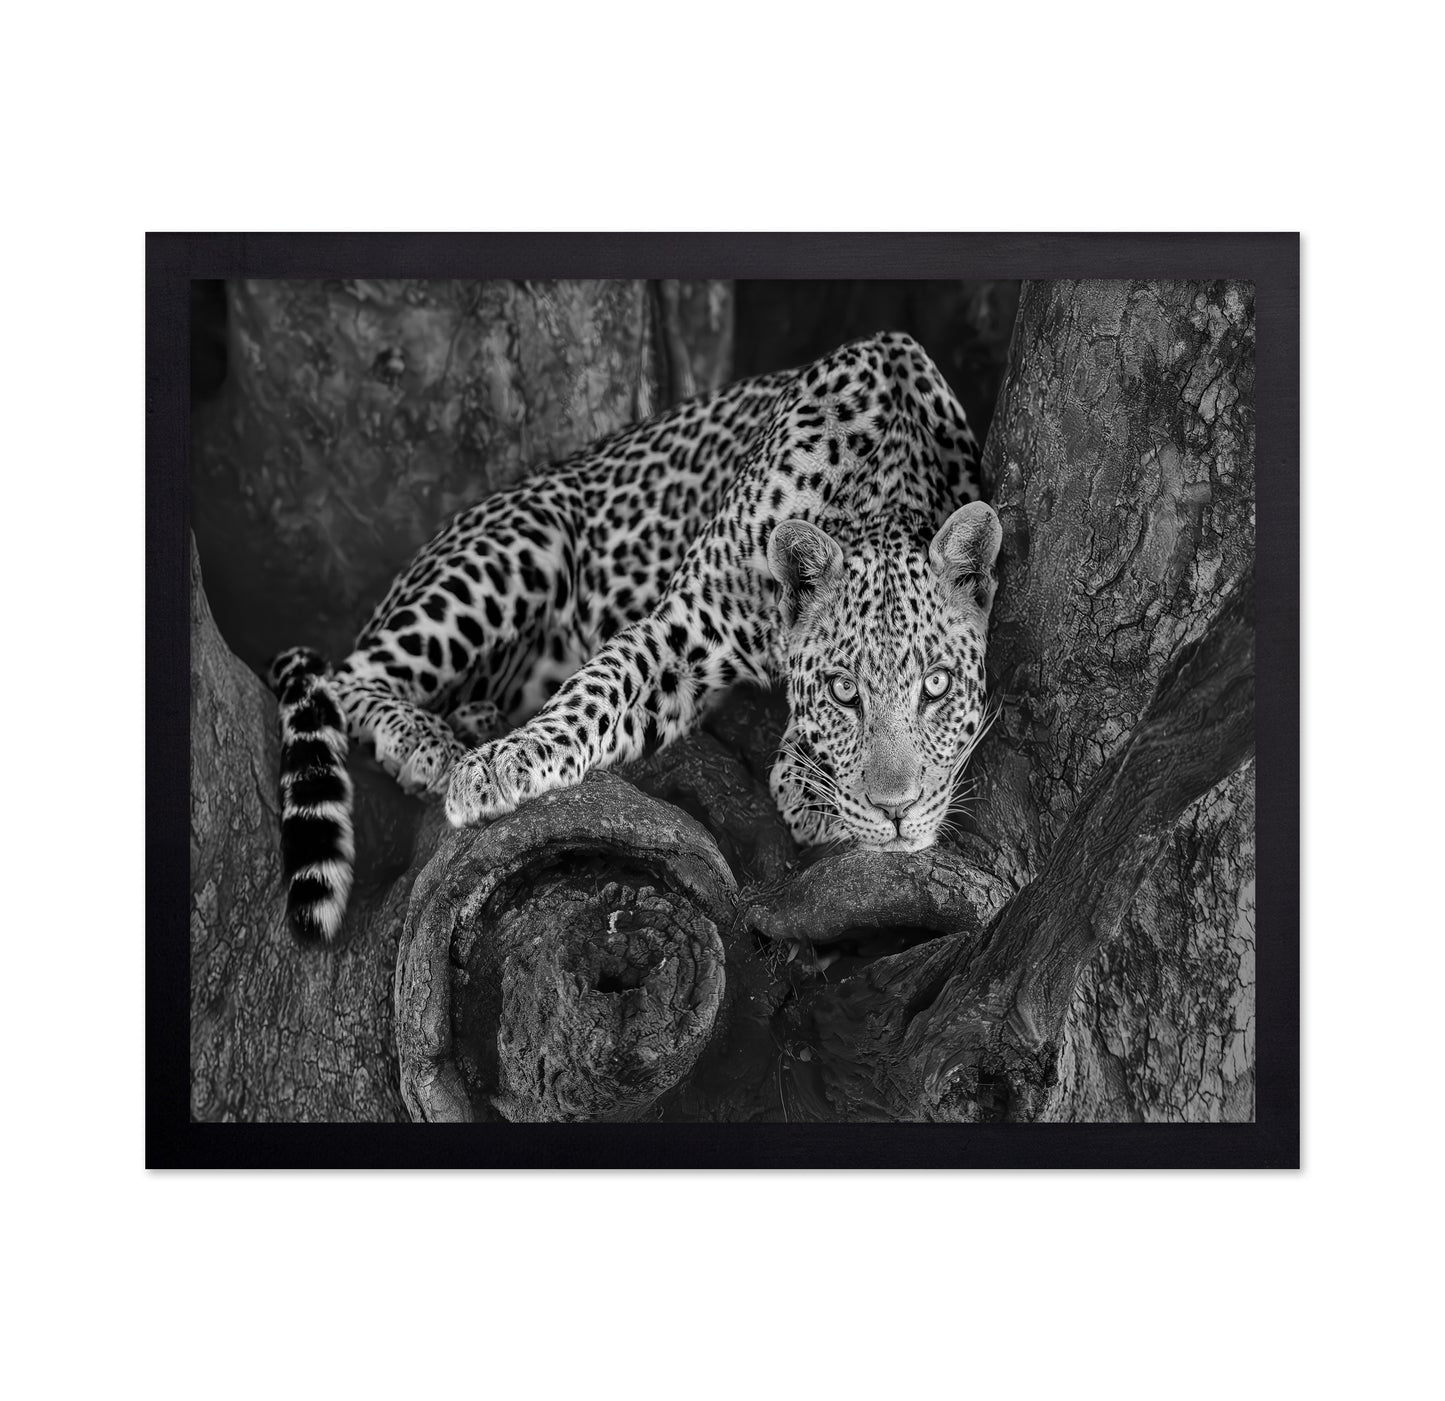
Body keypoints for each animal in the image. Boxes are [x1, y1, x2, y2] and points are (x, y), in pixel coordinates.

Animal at [269, 332, 1002, 944]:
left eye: (937, 686)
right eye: (844, 692)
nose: (897, 812)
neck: (880, 484)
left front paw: (807, 782)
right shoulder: (682, 628)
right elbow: (594, 690)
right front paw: (501, 766)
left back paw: (473, 717)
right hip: (518, 544)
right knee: (343, 676)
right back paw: (427, 743)